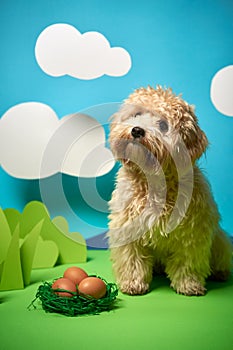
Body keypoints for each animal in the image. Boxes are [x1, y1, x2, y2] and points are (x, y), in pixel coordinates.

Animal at [108, 85, 232, 296]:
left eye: (163, 125)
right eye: (137, 114)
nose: (137, 130)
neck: (154, 181)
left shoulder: (193, 231)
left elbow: (188, 261)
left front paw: (189, 284)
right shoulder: (127, 226)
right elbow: (132, 258)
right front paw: (133, 282)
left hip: (220, 241)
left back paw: (220, 272)